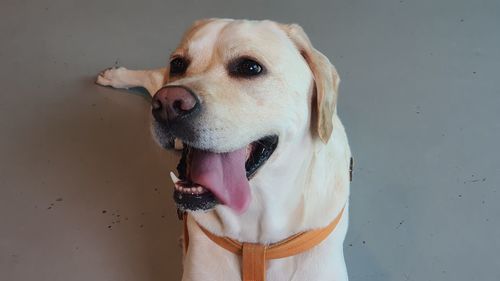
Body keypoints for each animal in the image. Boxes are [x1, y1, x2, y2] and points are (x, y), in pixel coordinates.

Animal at [96, 18, 352, 280]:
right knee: (154, 75)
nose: (167, 103)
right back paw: (116, 76)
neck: (255, 235)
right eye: (178, 64)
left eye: (250, 67)